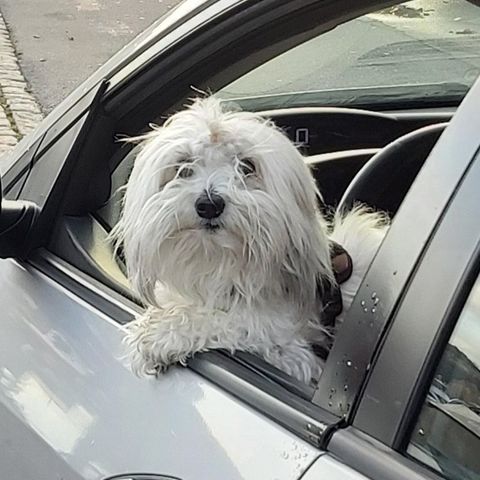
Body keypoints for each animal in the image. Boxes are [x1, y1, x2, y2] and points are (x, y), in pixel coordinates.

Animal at [112, 97, 386, 382]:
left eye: (247, 167)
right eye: (183, 167)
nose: (209, 205)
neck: (222, 264)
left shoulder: (297, 356)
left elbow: (239, 322)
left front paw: (162, 333)